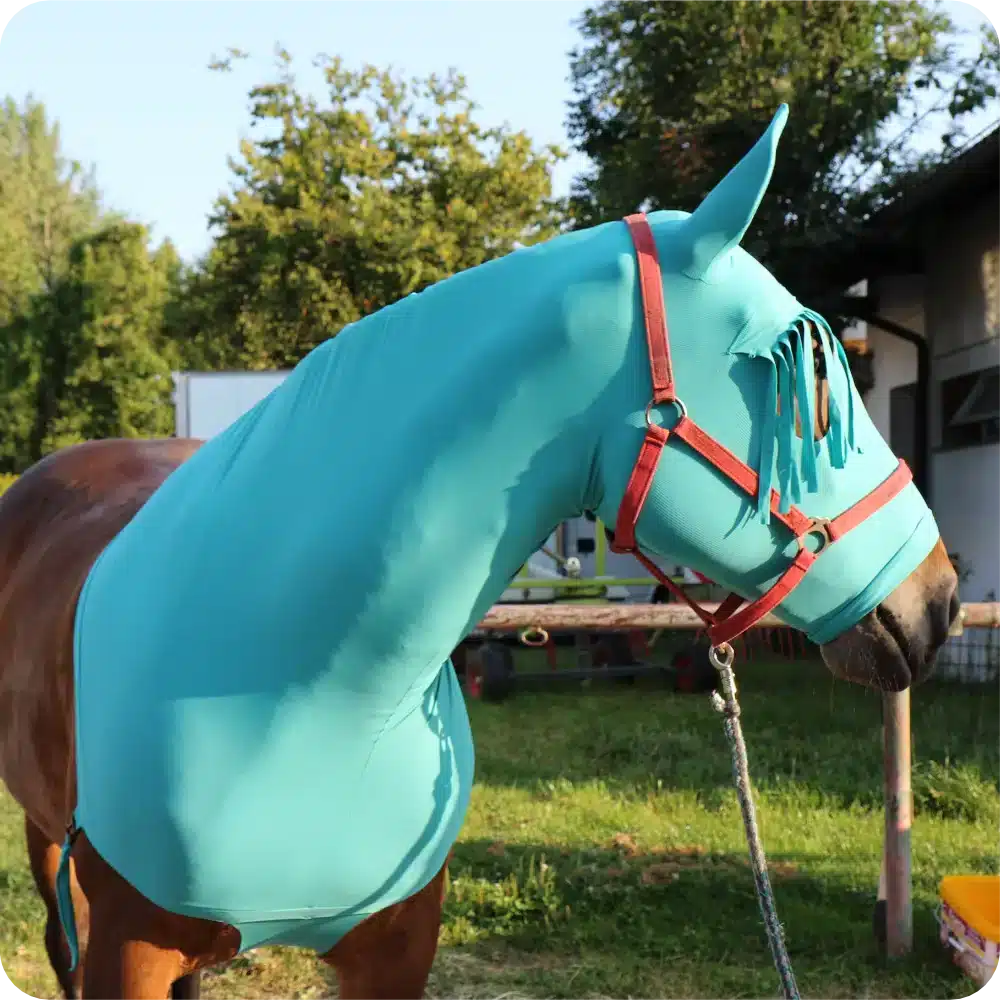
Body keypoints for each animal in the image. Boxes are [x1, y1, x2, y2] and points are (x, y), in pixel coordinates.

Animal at [0, 104, 958, 1000]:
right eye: (810, 376)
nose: (941, 598)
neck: (305, 697)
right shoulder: (127, 947)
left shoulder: (398, 946)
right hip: (49, 850)